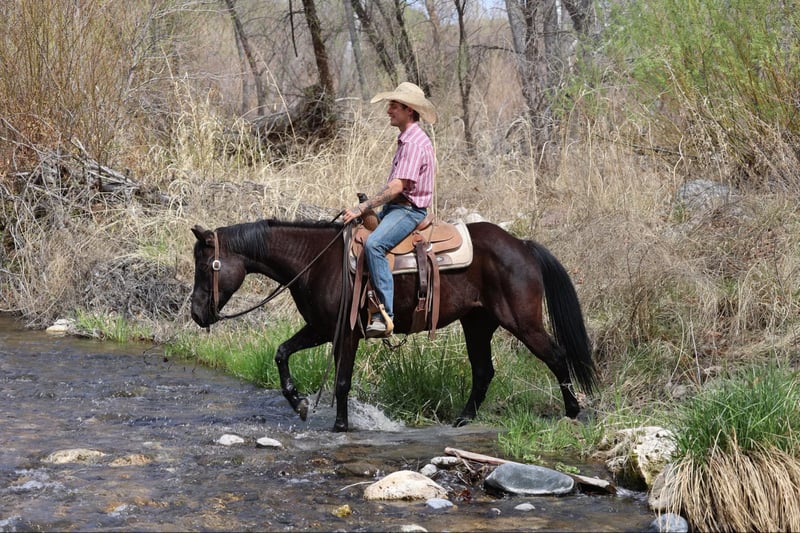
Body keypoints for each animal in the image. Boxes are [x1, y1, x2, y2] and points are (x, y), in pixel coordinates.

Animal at [190, 218, 597, 432]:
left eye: (206, 265)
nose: (195, 313)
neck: (315, 261)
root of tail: (522, 245)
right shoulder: (322, 328)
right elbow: (282, 353)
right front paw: (299, 402)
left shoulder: (347, 333)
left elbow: (341, 381)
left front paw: (340, 426)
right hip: (477, 323)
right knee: (484, 370)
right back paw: (463, 420)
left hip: (522, 322)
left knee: (556, 356)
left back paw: (572, 412)